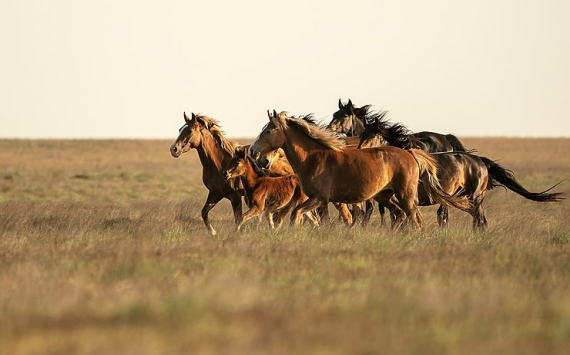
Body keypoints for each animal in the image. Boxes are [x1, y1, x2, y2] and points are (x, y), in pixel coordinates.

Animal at [248, 112, 470, 234]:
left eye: (269, 131)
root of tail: (410, 153)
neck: (314, 156)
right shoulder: (317, 199)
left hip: (406, 195)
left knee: (415, 219)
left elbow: (297, 214)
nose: (253, 152)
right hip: (385, 196)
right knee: (399, 214)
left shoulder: (320, 198)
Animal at [358, 115, 560, 229]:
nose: (359, 151)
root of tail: (481, 161)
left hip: (475, 197)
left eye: (373, 135)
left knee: (478, 220)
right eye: (361, 134)